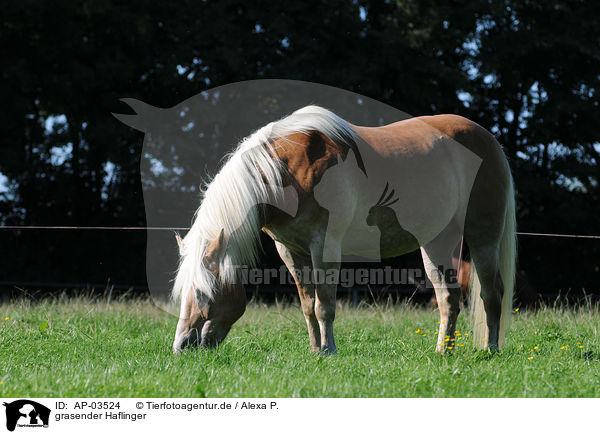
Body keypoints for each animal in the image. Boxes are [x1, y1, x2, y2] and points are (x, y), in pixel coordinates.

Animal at [172, 104, 516, 352]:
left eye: (203, 293)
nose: (181, 347)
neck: (287, 170)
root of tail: (488, 140)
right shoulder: (290, 251)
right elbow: (308, 305)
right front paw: (315, 350)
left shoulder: (325, 245)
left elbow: (325, 305)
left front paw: (330, 351)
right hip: (437, 242)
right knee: (449, 298)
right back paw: (443, 351)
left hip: (483, 236)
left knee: (492, 293)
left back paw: (490, 350)